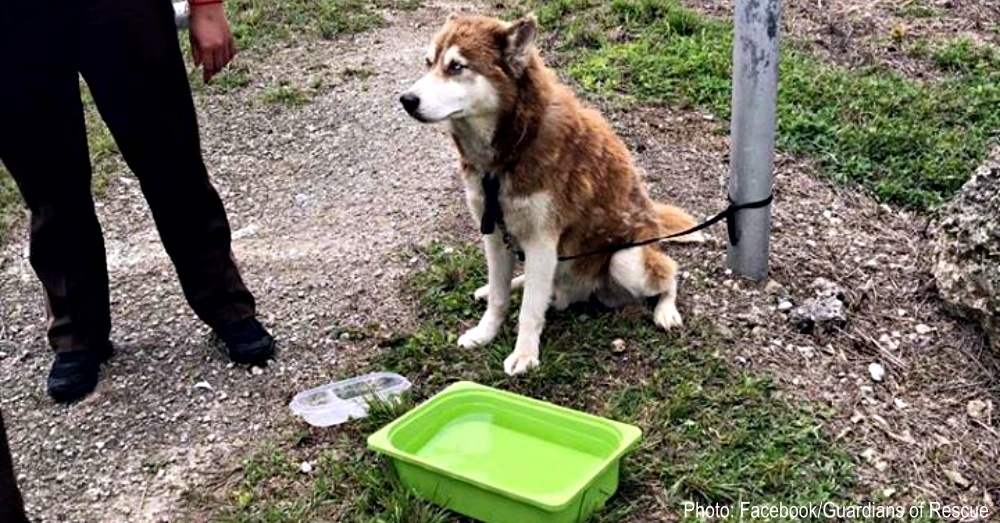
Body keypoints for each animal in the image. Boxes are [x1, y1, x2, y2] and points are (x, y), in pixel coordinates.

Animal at [398, 10, 704, 374]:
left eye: (456, 66)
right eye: (428, 62)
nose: (407, 100)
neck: (514, 147)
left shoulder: (542, 241)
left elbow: (530, 310)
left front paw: (525, 356)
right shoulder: (494, 233)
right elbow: (501, 298)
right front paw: (484, 332)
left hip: (626, 260)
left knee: (671, 273)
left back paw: (666, 310)